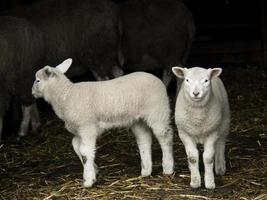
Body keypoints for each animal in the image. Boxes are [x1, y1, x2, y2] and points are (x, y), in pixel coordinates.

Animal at [31, 58, 174, 188]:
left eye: (38, 80)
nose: (32, 93)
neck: (66, 96)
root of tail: (157, 79)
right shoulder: (79, 130)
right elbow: (76, 146)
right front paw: (94, 169)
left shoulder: (87, 128)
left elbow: (85, 151)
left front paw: (89, 180)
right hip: (138, 120)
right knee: (144, 140)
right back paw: (146, 171)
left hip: (158, 111)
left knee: (165, 137)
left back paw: (168, 168)